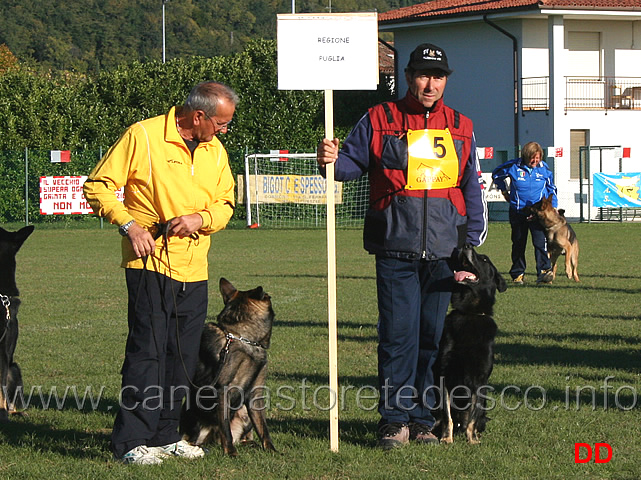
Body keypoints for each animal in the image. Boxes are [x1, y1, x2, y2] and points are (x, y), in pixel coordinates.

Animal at [180, 276, 276, 456]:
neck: (242, 337)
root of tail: (213, 439)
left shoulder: (255, 394)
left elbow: (263, 429)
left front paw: (272, 450)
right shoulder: (223, 391)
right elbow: (226, 429)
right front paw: (231, 453)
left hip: (243, 413)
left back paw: (250, 444)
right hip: (196, 419)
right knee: (196, 440)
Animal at [432, 246, 508, 444]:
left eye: (485, 259)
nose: (465, 246)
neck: (470, 313)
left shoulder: (480, 380)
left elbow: (473, 416)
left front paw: (472, 440)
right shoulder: (444, 374)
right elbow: (447, 414)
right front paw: (446, 439)